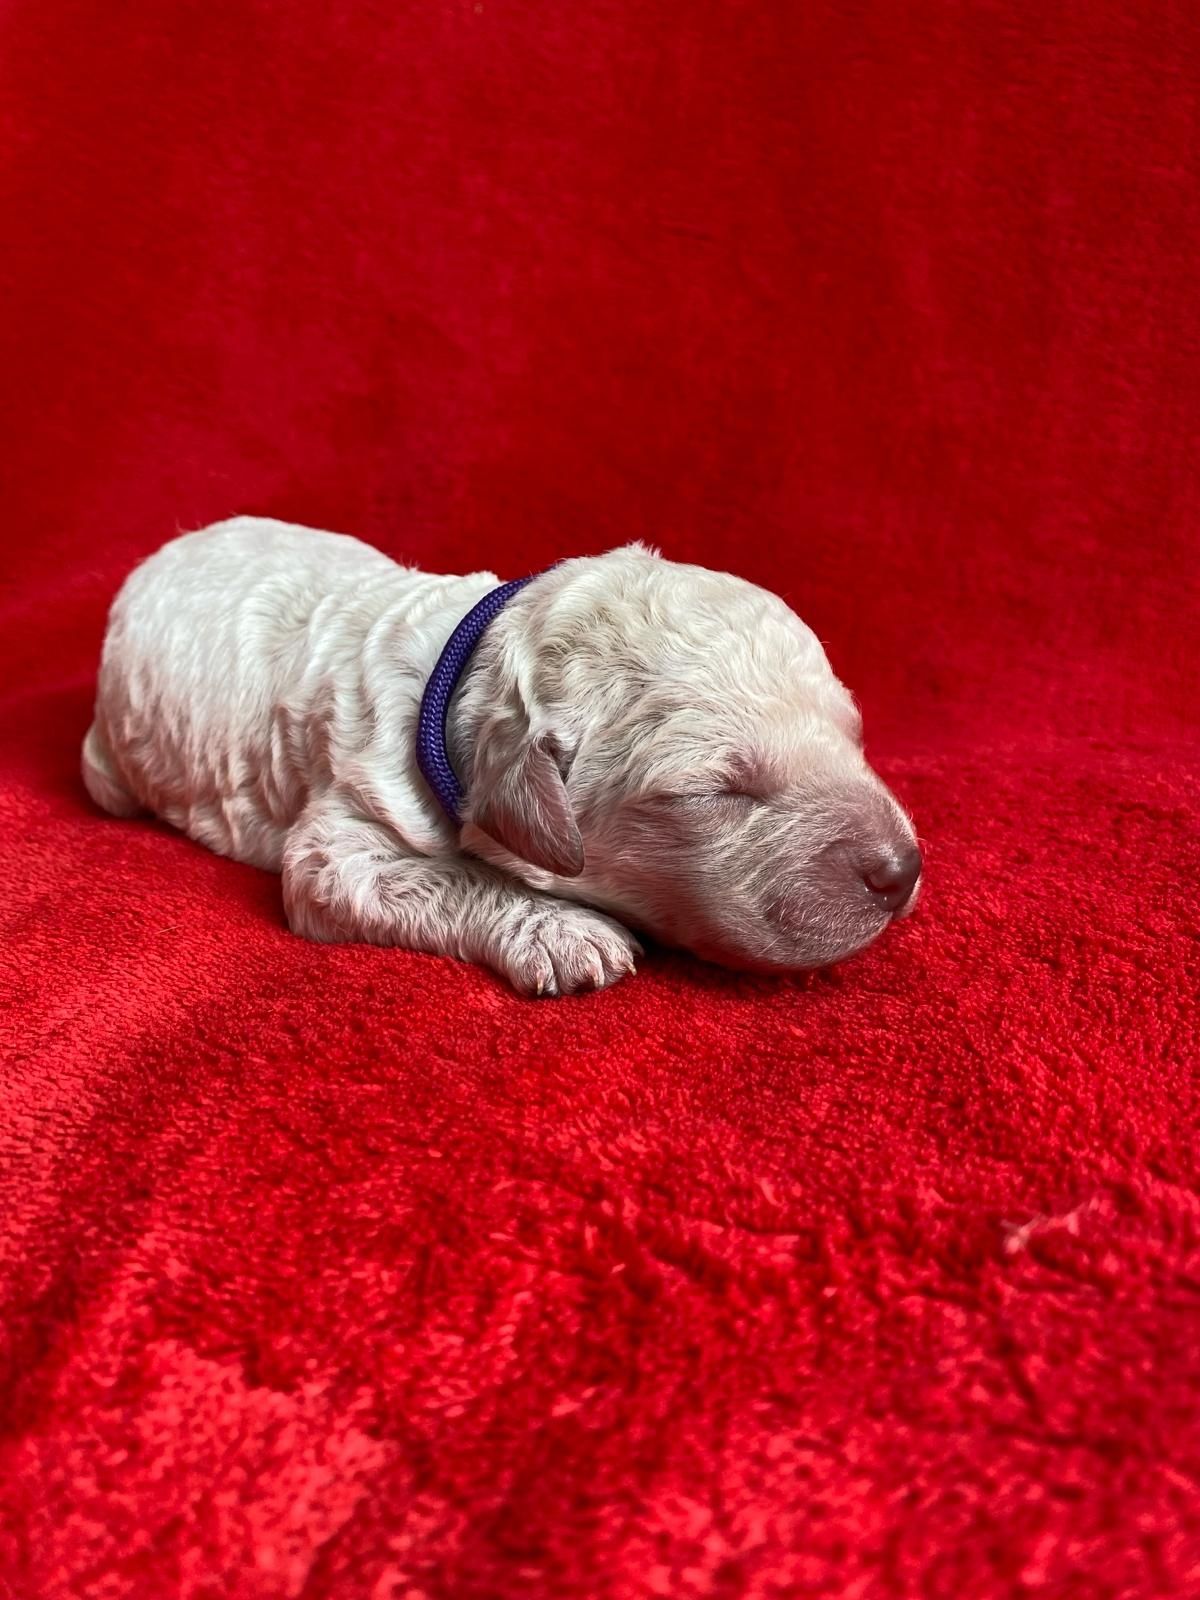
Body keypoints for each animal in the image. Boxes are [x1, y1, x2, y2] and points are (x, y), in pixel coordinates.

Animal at [84, 518, 921, 992]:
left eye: (852, 734)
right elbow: (430, 875)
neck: (461, 668)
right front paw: (564, 933)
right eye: (718, 792)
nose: (903, 869)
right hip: (107, 766)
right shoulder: (341, 828)